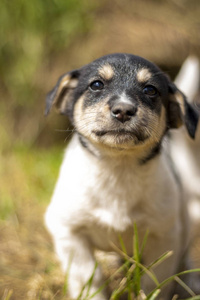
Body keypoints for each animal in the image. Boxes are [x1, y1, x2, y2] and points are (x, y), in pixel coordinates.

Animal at [45, 54, 198, 300]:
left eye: (150, 90)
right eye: (96, 84)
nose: (123, 110)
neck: (118, 169)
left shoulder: (164, 238)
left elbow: (153, 281)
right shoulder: (67, 231)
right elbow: (88, 275)